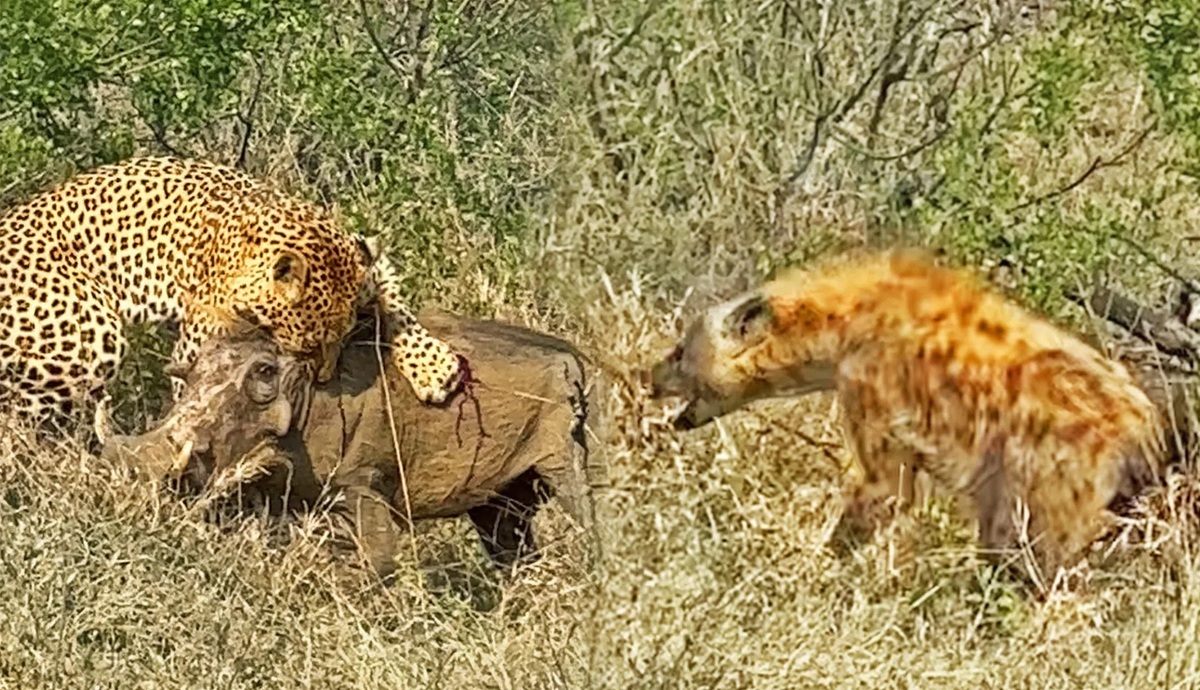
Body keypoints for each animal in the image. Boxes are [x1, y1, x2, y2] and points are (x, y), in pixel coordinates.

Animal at [0, 158, 463, 427]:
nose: (327, 379)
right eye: (308, 347)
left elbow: (397, 305)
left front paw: (435, 367)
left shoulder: (366, 261)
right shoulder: (198, 349)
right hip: (93, 336)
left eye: (344, 339)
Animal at [652, 250, 1166, 585]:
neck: (845, 329)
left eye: (680, 352)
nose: (650, 375)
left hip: (1046, 486)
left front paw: (809, 574)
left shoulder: (882, 415)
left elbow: (877, 497)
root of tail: (1143, 420)